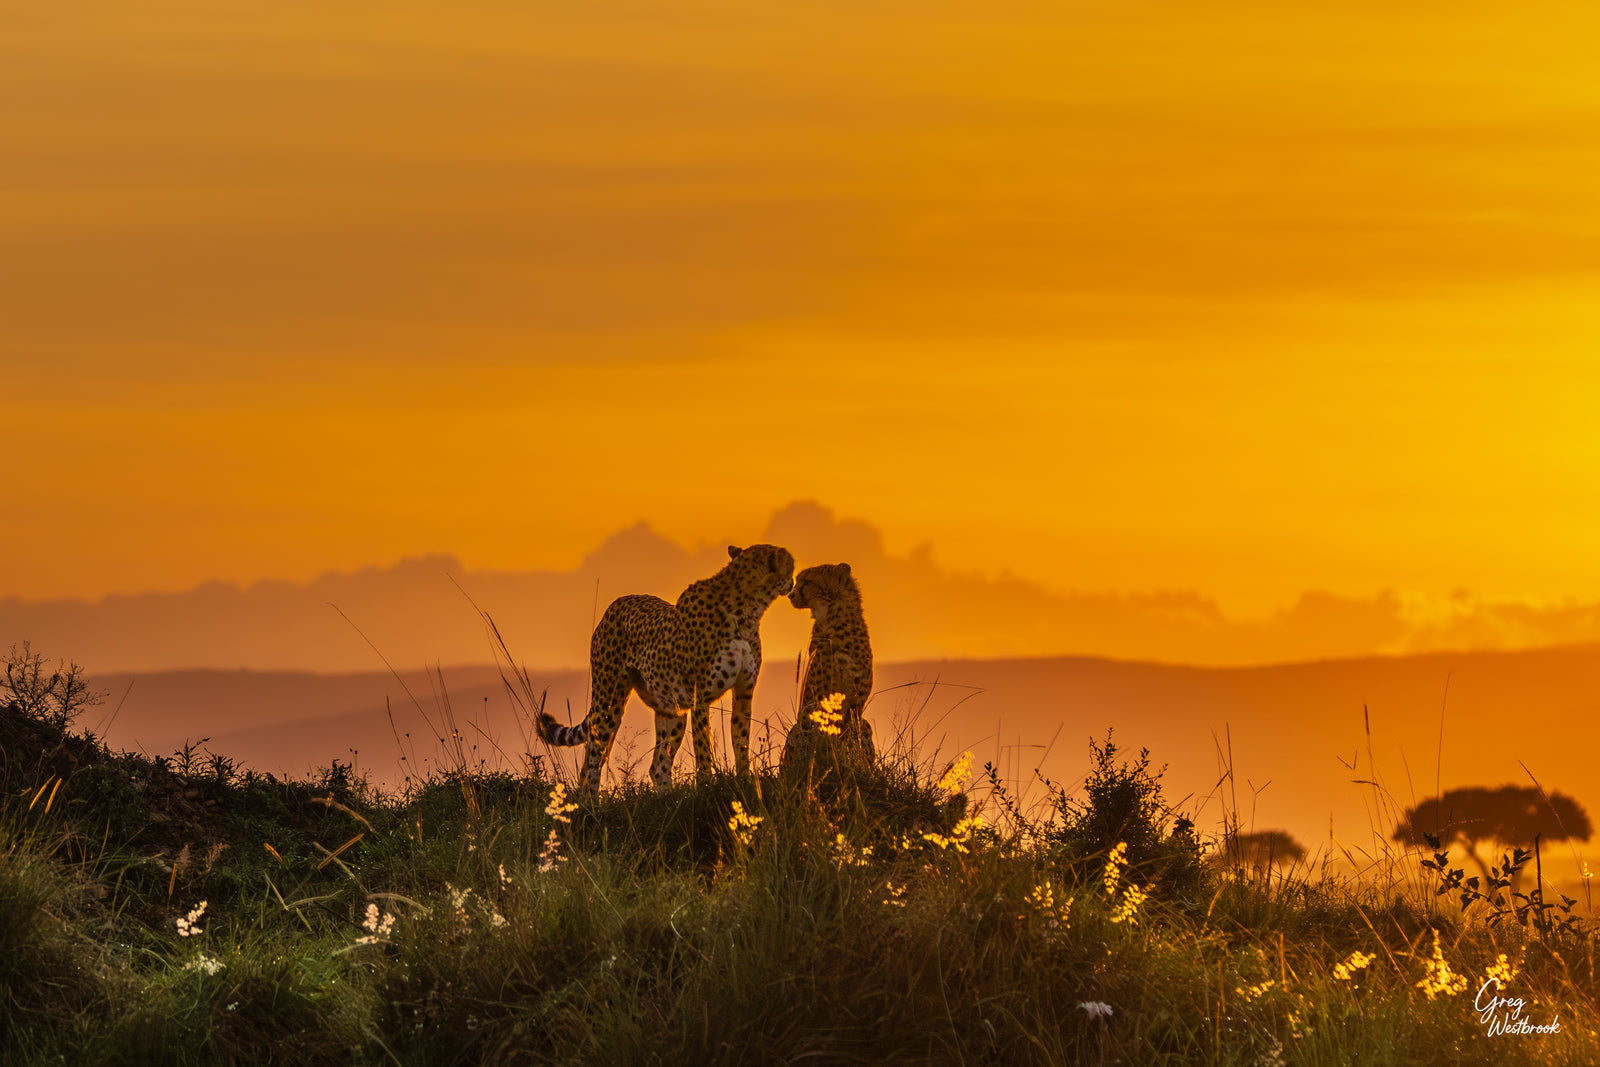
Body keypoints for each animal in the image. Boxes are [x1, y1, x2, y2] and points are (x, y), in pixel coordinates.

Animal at [536, 543, 795, 792]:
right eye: (791, 564)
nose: (793, 582)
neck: (747, 611)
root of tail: (616, 604)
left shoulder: (743, 693)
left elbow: (741, 740)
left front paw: (745, 780)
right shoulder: (701, 697)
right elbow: (703, 747)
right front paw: (707, 787)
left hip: (672, 709)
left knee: (658, 765)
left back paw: (669, 800)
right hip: (609, 702)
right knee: (592, 758)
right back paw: (590, 802)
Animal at [780, 562, 875, 774]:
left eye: (807, 581)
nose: (790, 595)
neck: (835, 618)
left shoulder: (856, 702)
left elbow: (849, 737)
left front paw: (851, 761)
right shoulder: (821, 698)